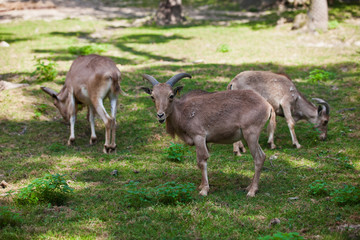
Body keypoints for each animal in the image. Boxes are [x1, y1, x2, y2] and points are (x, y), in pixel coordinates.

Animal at [141, 73, 276, 197]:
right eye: (152, 96)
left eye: (171, 95)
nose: (160, 115)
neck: (183, 111)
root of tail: (268, 106)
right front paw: (201, 185)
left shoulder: (199, 136)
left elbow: (202, 160)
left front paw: (204, 190)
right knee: (262, 156)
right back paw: (249, 186)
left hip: (251, 133)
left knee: (258, 158)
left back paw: (252, 191)